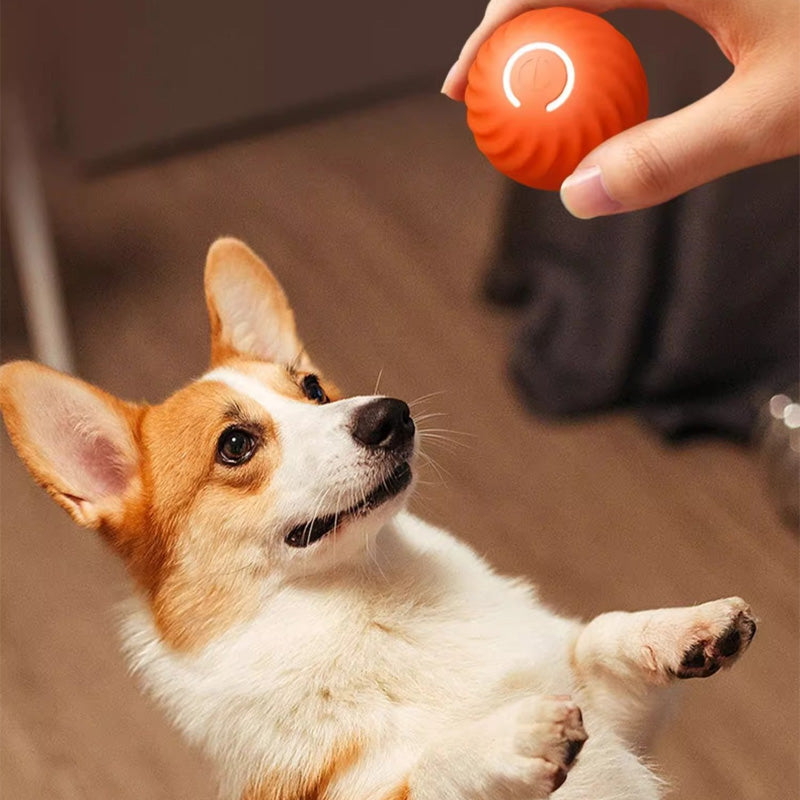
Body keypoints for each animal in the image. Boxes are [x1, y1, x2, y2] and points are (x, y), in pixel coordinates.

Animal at [0, 239, 756, 800]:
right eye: (236, 445)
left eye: (312, 388)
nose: (392, 415)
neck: (374, 598)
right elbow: (432, 767)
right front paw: (507, 738)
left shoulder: (621, 724)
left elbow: (599, 637)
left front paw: (691, 628)